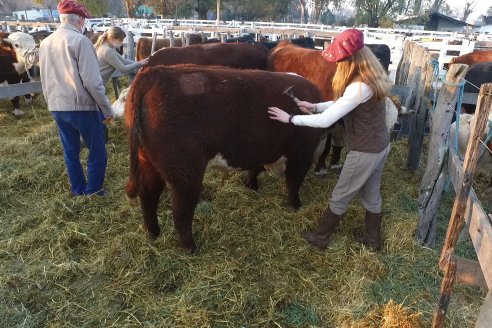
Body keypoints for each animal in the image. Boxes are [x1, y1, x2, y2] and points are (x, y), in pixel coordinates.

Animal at [125, 64, 326, 251]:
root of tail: (156, 72)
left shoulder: (264, 149)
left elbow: (256, 168)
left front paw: (251, 185)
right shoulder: (301, 155)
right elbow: (293, 183)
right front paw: (295, 205)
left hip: (148, 162)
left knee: (148, 195)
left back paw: (153, 233)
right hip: (185, 173)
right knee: (181, 211)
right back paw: (190, 248)